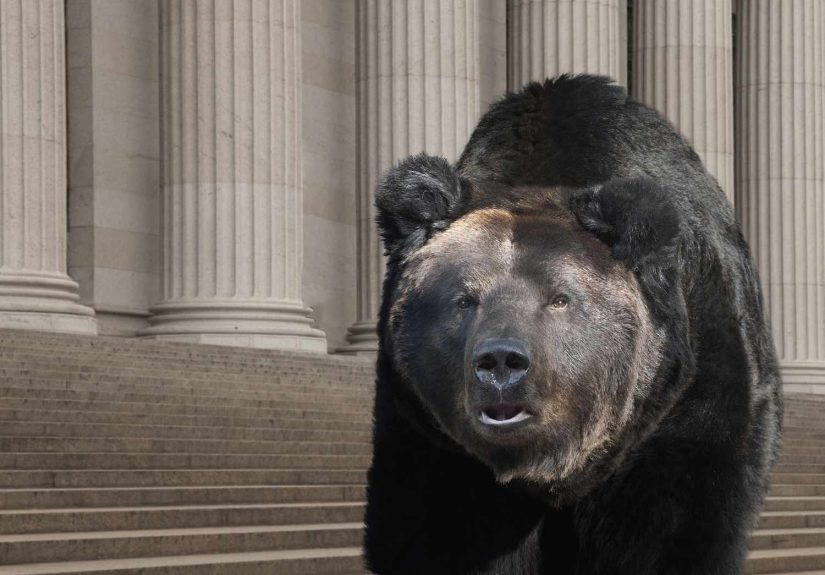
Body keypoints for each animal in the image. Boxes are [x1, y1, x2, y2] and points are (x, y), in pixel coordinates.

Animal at [364, 75, 783, 575]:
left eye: (560, 299)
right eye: (464, 299)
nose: (501, 362)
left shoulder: (688, 401)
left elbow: (677, 523)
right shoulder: (430, 436)